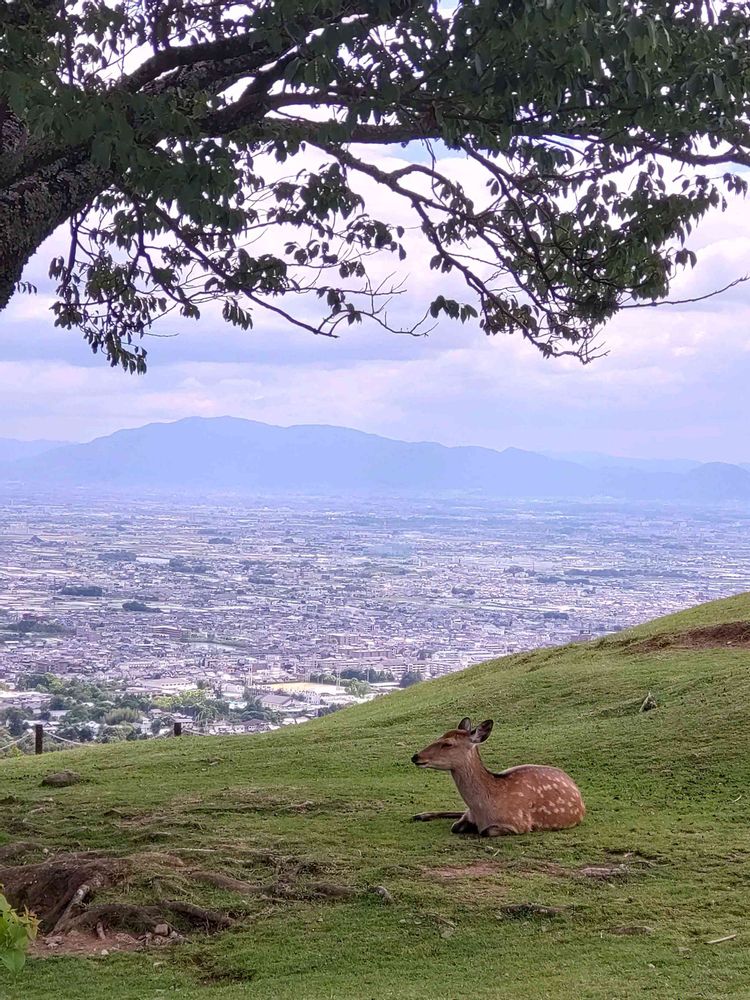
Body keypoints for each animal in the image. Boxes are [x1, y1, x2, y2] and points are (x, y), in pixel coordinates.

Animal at [410, 717, 585, 837]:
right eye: (439, 736)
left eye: (448, 743)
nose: (415, 756)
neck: (484, 809)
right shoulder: (469, 814)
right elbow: (455, 826)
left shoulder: (518, 824)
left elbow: (484, 831)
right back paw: (421, 814)